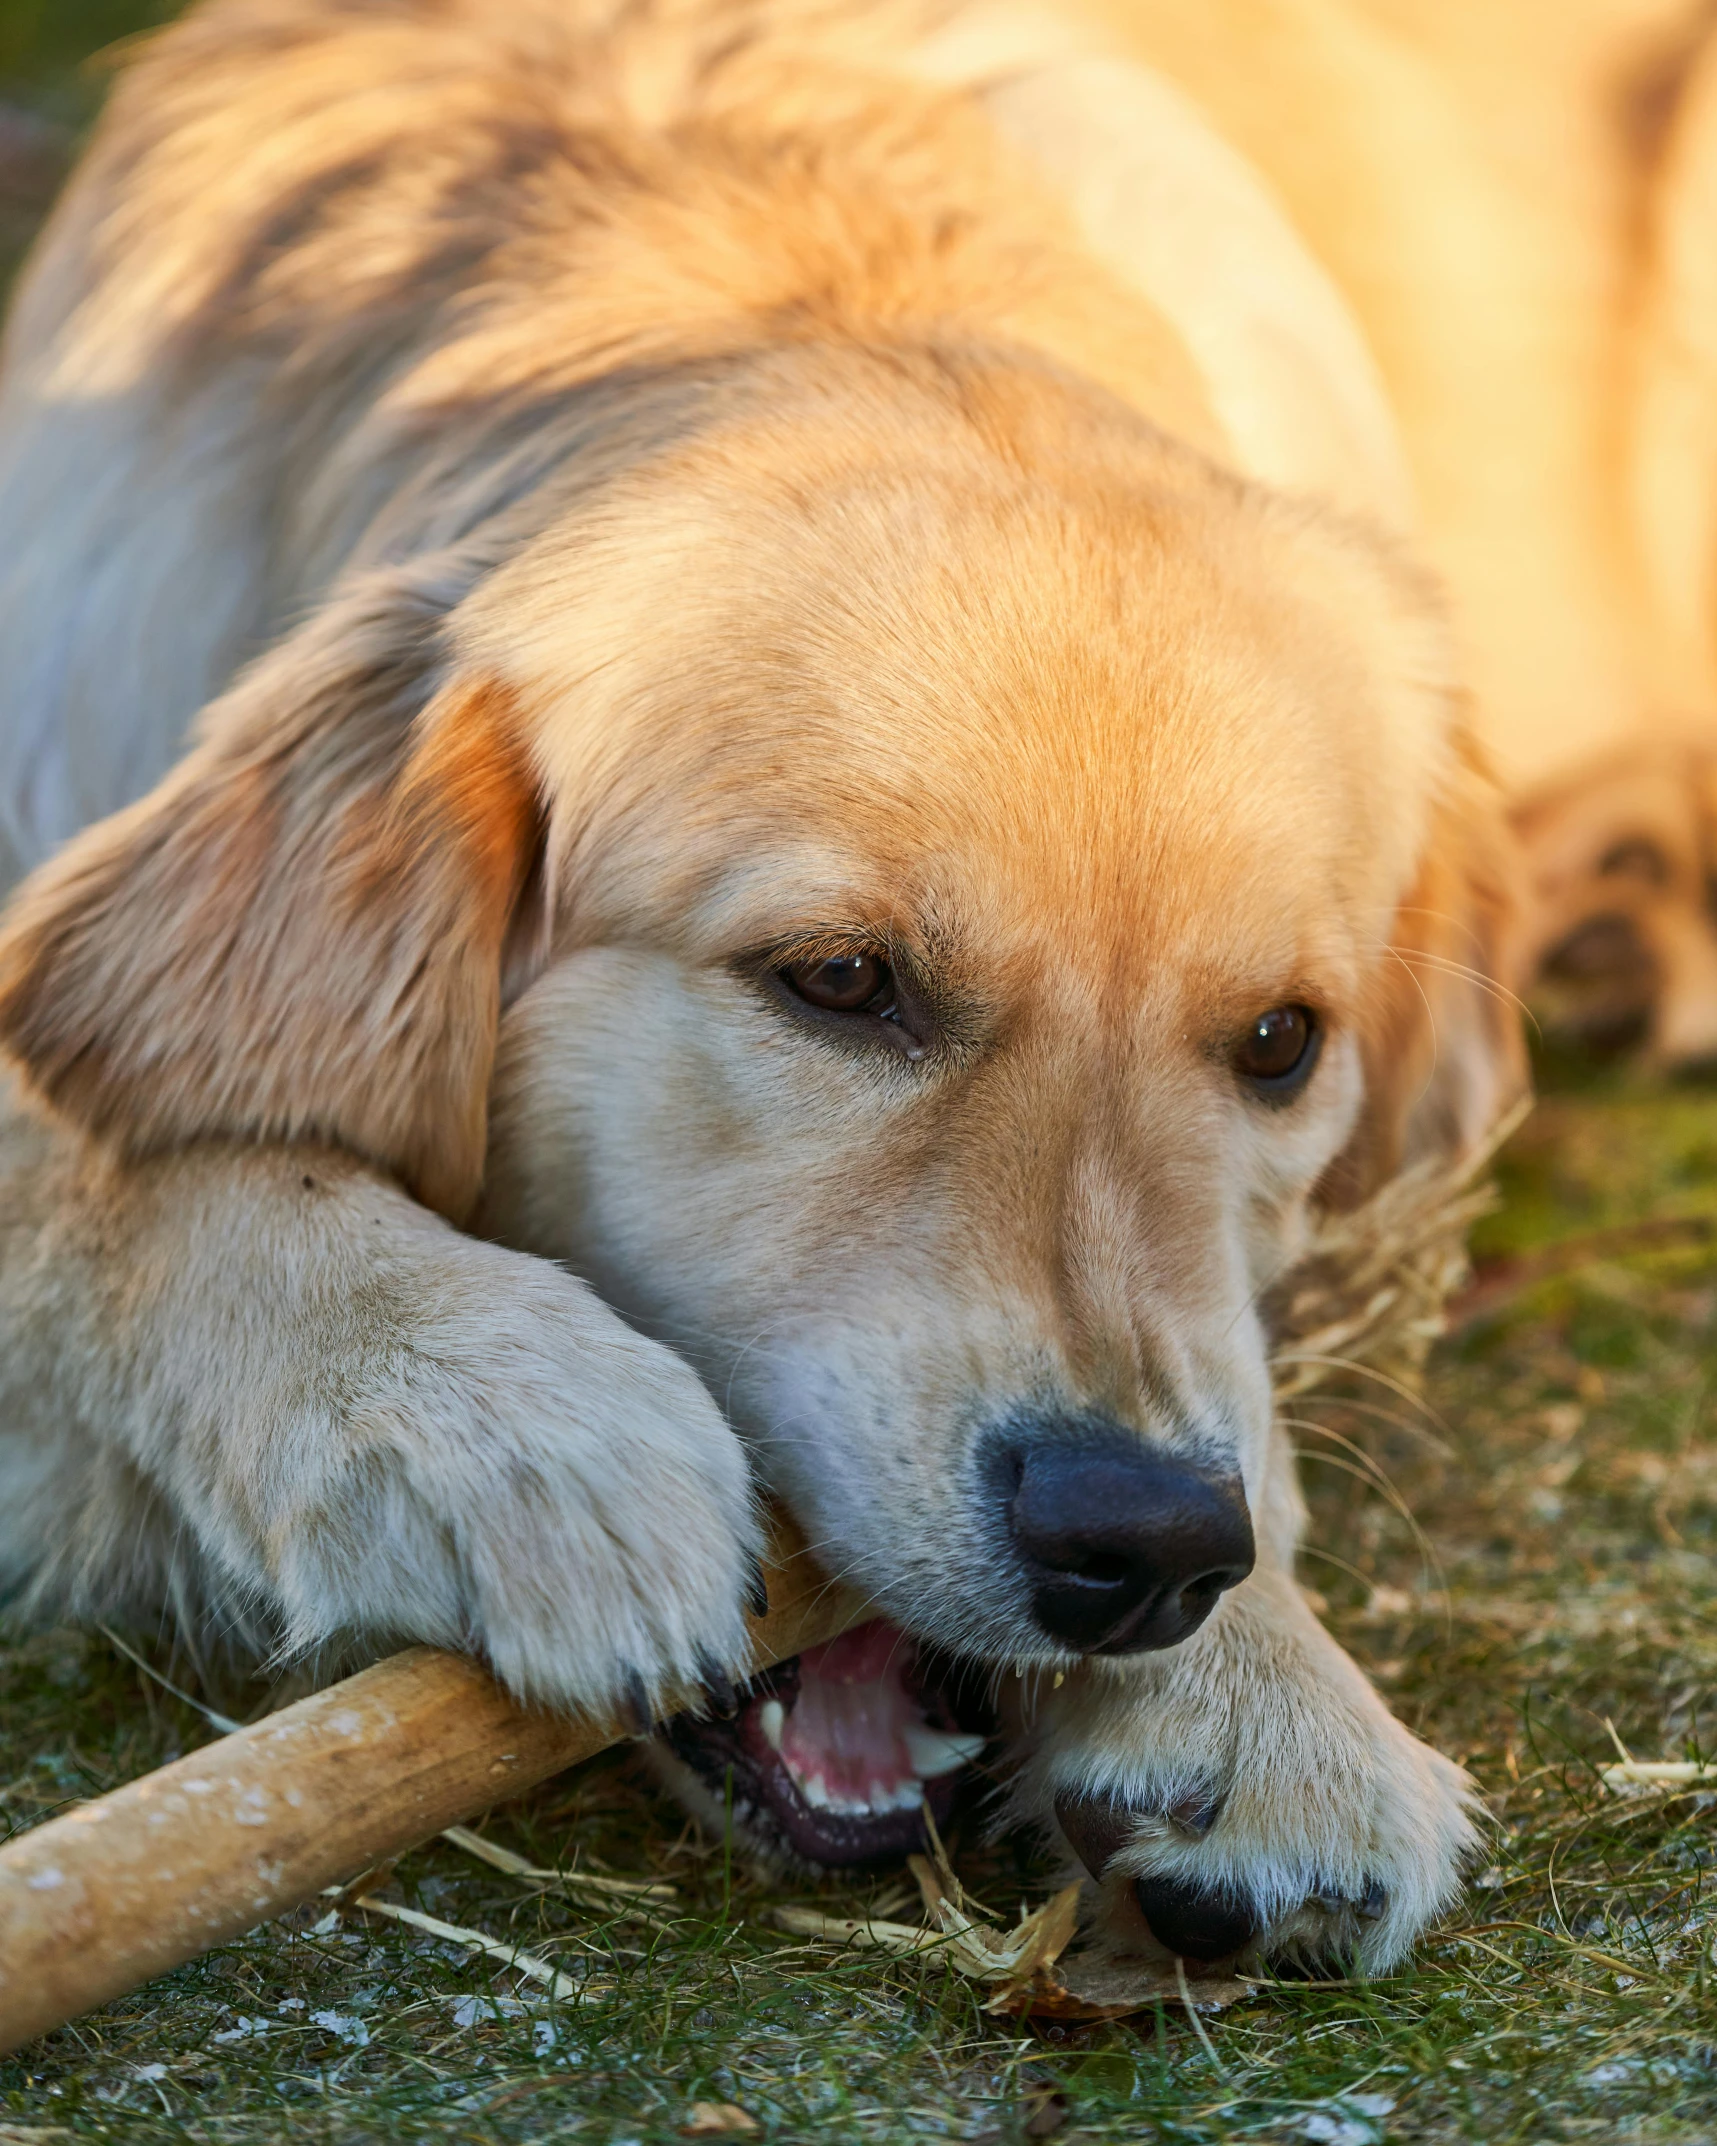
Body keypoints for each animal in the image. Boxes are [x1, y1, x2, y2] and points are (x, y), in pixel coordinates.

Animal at [16, 0, 1717, 1974]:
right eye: (839, 980)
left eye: (1281, 1042)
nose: (1145, 1544)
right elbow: (109, 1176)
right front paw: (505, 1421)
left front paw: (1267, 1693)